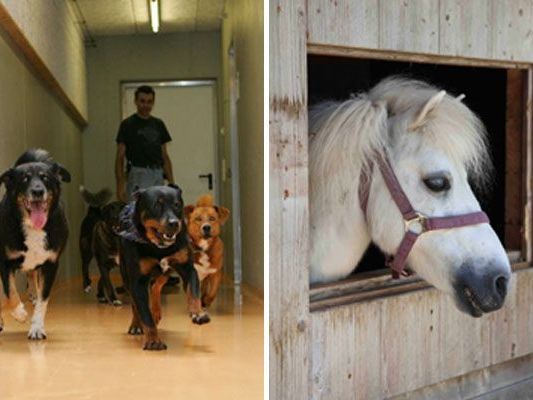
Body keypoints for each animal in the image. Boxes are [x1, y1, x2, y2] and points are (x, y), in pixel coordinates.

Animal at [0, 148, 69, 340]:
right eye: (24, 179)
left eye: (45, 178)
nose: (38, 191)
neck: (33, 227)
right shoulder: (5, 262)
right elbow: (10, 292)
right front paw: (19, 313)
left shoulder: (51, 265)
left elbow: (43, 300)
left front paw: (37, 327)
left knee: (32, 277)